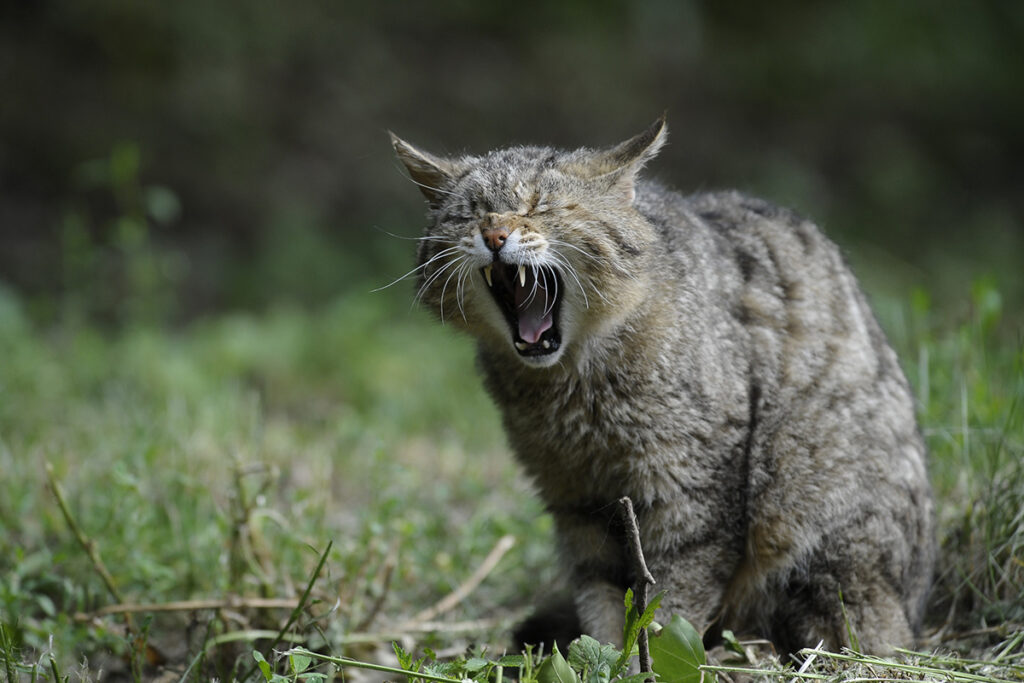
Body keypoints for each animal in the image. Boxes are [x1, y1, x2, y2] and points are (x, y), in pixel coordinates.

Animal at [391, 118, 937, 655]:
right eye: (468, 215)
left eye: (539, 206)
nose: (495, 232)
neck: (571, 388)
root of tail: (913, 606)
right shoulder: (576, 499)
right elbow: (603, 601)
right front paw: (605, 658)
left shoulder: (692, 491)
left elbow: (670, 606)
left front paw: (648, 659)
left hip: (817, 513)